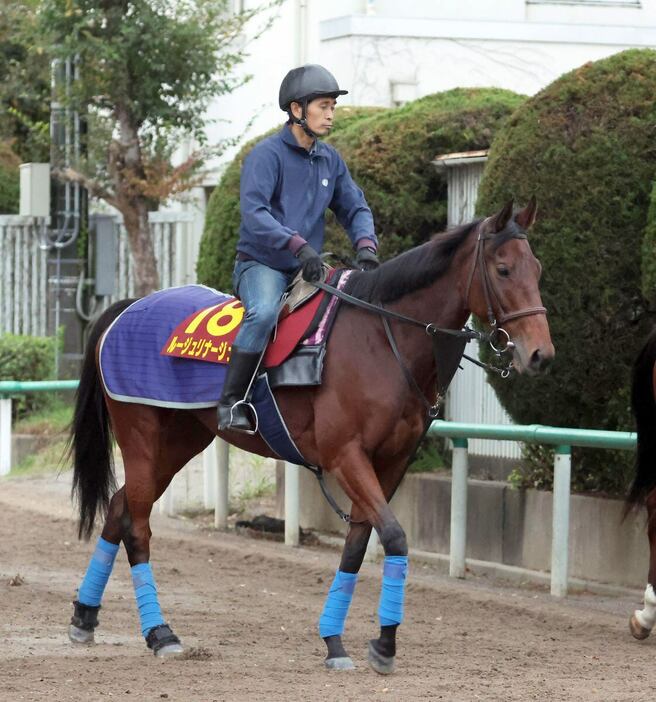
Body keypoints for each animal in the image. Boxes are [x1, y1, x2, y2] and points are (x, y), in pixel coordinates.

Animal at [68, 201, 552, 672]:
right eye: (503, 269)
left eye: (538, 269)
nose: (540, 354)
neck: (380, 340)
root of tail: (127, 307)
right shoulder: (346, 456)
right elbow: (394, 536)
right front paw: (384, 643)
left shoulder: (391, 463)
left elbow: (358, 544)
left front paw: (336, 641)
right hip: (142, 438)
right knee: (138, 527)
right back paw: (159, 633)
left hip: (179, 442)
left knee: (119, 507)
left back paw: (84, 617)